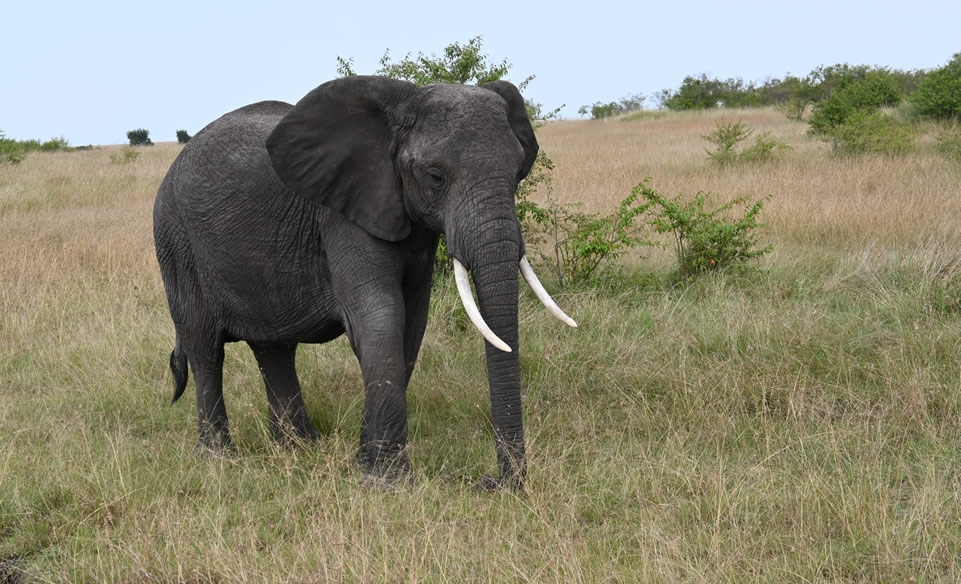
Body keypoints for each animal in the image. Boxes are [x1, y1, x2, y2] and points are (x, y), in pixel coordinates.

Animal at [153, 75, 572, 490]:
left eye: (518, 173)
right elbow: (381, 319)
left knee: (274, 349)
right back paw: (218, 458)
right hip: (175, 241)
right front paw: (387, 484)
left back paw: (297, 448)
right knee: (205, 347)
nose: (489, 481)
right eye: (435, 177)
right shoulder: (342, 214)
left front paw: (363, 462)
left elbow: (411, 326)